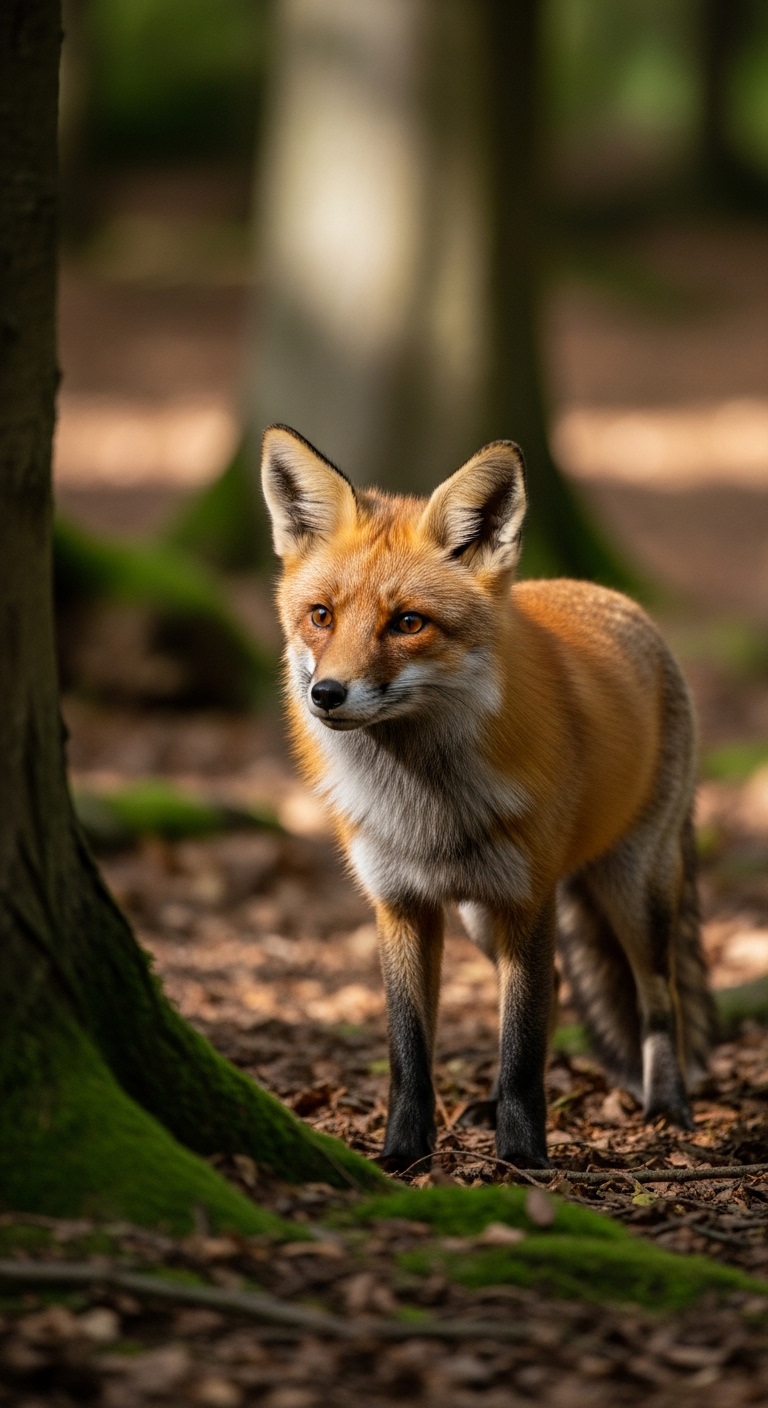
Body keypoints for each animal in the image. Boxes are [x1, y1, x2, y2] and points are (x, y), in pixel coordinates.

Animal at [261, 423, 714, 1171]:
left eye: (408, 623)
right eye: (320, 616)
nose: (326, 694)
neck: (424, 807)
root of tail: (615, 598)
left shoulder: (527, 898)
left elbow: (521, 1052)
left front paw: (523, 1161)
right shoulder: (402, 904)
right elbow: (409, 1053)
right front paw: (403, 1156)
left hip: (632, 889)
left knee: (659, 999)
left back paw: (669, 1109)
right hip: (482, 916)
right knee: (554, 984)